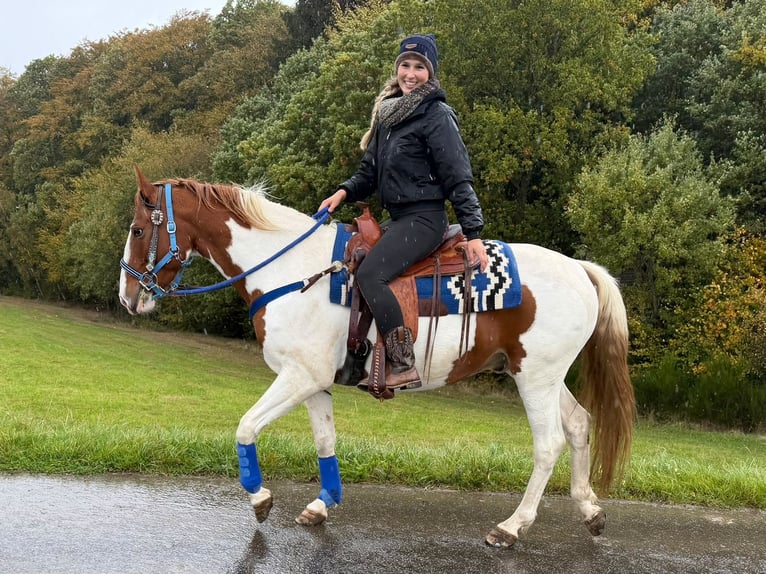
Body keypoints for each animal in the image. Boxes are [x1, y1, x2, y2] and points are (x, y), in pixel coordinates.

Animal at [119, 166, 635, 548]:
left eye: (138, 229)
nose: (127, 296)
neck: (291, 270)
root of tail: (580, 269)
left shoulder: (297, 377)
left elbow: (245, 427)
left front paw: (261, 498)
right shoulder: (313, 382)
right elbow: (325, 442)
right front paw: (321, 504)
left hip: (535, 378)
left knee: (548, 444)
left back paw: (512, 527)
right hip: (540, 375)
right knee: (579, 424)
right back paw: (590, 511)